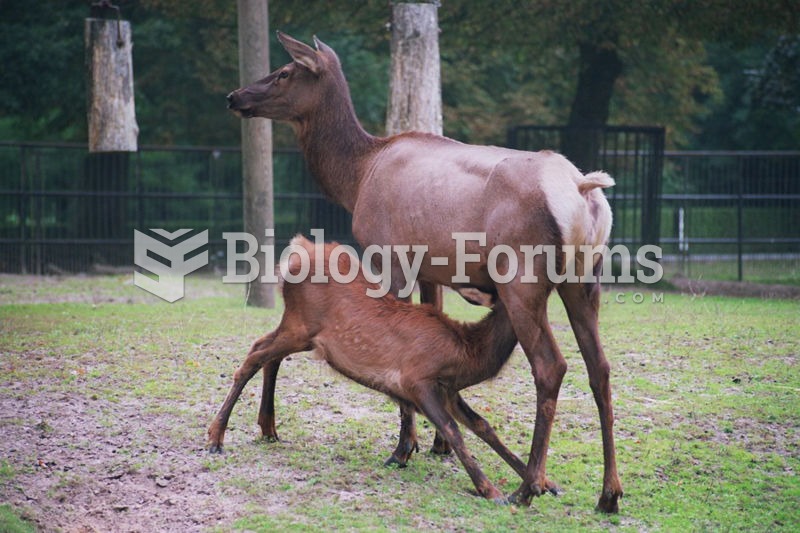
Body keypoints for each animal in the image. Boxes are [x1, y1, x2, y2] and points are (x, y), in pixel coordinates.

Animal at [228, 32, 620, 512]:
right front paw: (438, 445)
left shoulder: (389, 254)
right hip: (585, 280)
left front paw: (404, 449)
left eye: (284, 72)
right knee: (600, 367)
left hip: (521, 280)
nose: (235, 96)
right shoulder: (433, 269)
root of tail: (584, 191)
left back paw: (527, 487)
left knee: (551, 366)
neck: (356, 178)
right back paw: (608, 494)